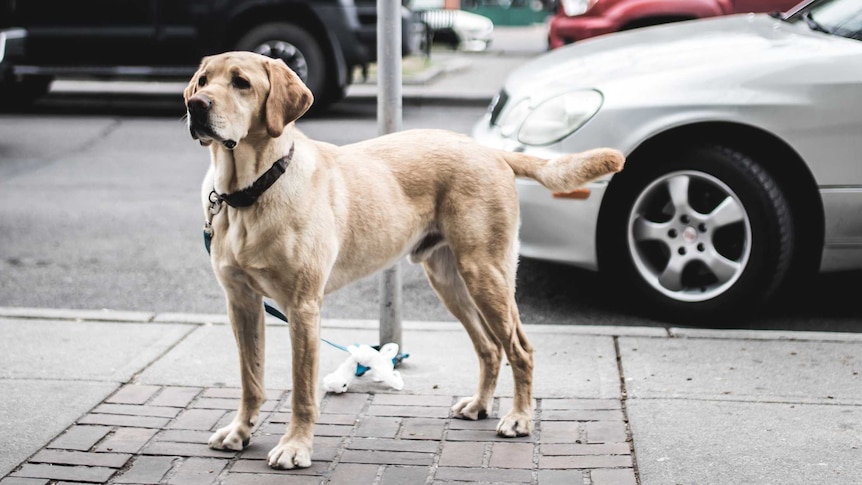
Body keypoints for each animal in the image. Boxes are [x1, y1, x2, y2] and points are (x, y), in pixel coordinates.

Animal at [186, 51, 624, 466]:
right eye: (203, 81)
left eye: (241, 83)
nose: (195, 104)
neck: (249, 192)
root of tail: (490, 151)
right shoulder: (242, 303)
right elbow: (251, 378)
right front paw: (240, 431)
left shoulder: (303, 306)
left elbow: (302, 391)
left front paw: (296, 447)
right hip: (450, 280)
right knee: (489, 348)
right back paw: (480, 405)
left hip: (486, 273)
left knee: (519, 348)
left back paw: (519, 417)